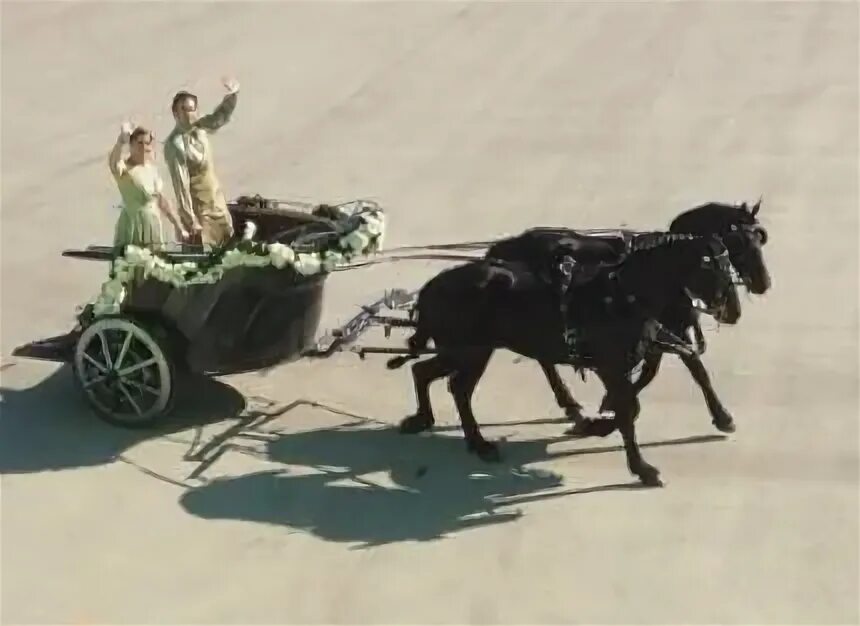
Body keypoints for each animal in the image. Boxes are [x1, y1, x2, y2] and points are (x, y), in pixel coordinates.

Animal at [388, 232, 740, 486]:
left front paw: (600, 425)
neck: (624, 294)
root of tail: (429, 289)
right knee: (453, 385)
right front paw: (641, 467)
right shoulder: (611, 365)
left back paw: (432, 423)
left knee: (429, 374)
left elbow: (641, 397)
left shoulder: (635, 356)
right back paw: (476, 440)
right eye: (713, 268)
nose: (731, 311)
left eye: (730, 268)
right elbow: (629, 410)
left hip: (466, 351)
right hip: (469, 351)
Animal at [484, 197, 772, 432]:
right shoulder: (663, 330)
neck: (662, 269)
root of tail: (500, 249)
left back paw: (571, 405)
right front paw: (723, 417)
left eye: (760, 238)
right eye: (737, 242)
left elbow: (660, 369)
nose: (763, 283)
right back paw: (570, 404)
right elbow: (689, 368)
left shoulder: (661, 332)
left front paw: (612, 402)